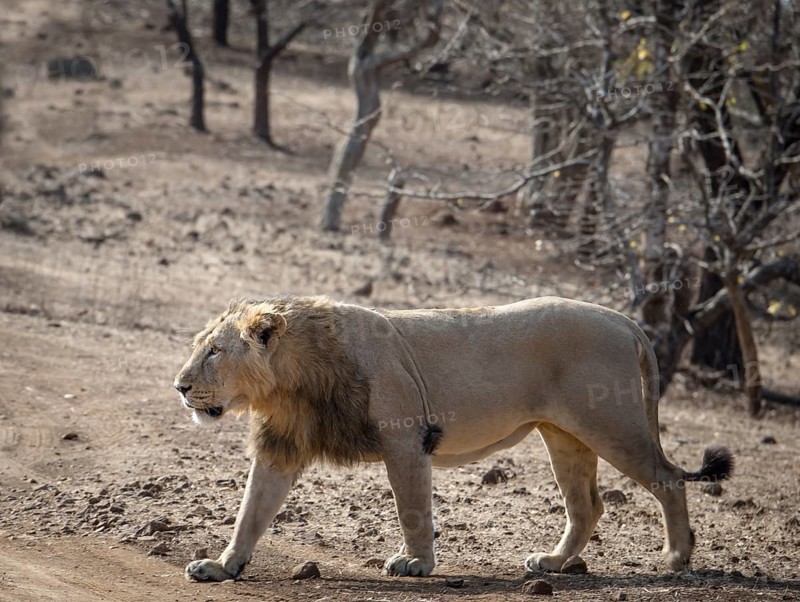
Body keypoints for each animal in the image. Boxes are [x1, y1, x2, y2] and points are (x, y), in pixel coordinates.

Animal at [173, 295, 733, 581]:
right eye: (200, 347)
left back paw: (677, 558)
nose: (179, 386)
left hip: (611, 423)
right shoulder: (281, 447)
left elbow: (413, 509)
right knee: (587, 506)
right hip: (564, 436)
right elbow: (251, 511)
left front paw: (416, 563)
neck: (289, 380)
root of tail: (623, 319)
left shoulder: (406, 440)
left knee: (667, 478)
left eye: (214, 352)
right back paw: (552, 563)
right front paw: (222, 566)